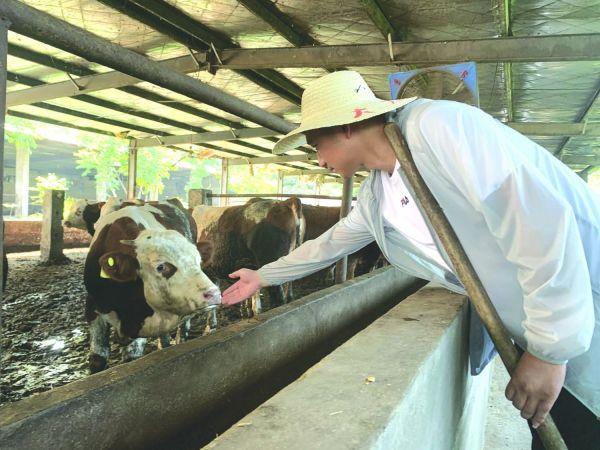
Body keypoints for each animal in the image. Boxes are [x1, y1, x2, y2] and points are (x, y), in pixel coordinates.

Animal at [84, 201, 220, 372]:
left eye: (199, 261)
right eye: (161, 267)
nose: (213, 294)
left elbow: (131, 358)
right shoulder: (92, 307)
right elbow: (98, 359)